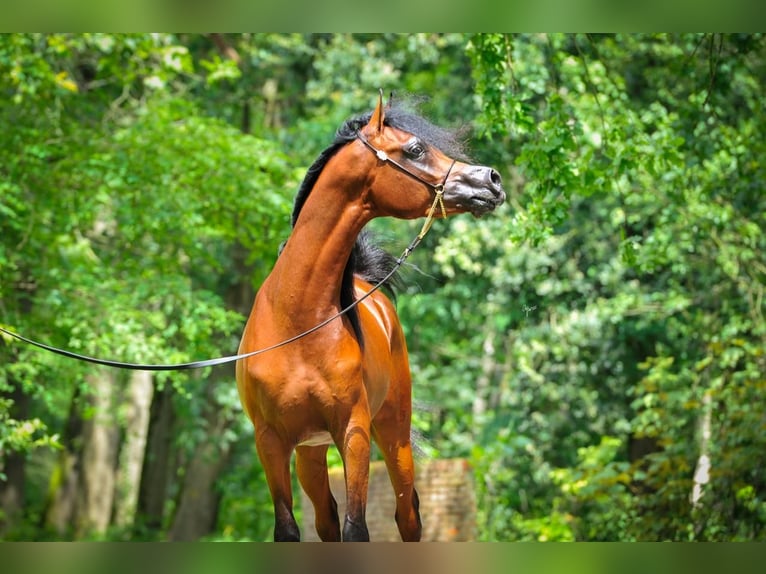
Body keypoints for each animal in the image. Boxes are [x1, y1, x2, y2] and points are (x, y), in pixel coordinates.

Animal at [237, 94, 508, 544]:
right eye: (415, 148)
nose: (492, 179)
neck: (296, 320)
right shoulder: (270, 442)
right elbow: (291, 529)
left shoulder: (354, 433)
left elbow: (357, 528)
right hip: (310, 451)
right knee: (326, 520)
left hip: (393, 435)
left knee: (407, 515)